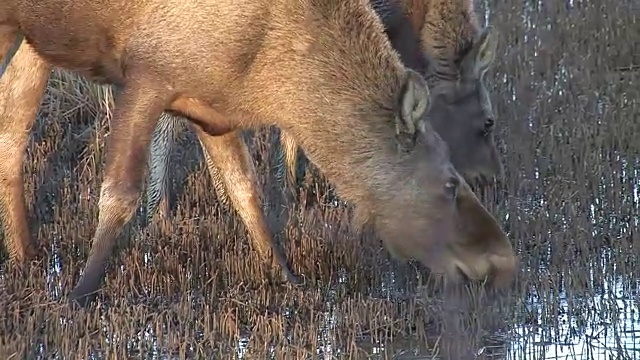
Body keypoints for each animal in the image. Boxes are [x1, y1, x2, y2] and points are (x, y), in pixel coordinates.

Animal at [0, 0, 516, 306]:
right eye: (450, 183)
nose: (501, 262)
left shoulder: (211, 103)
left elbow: (245, 191)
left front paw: (289, 278)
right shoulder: (148, 76)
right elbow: (120, 193)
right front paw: (78, 294)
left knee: (12, 130)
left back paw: (25, 254)